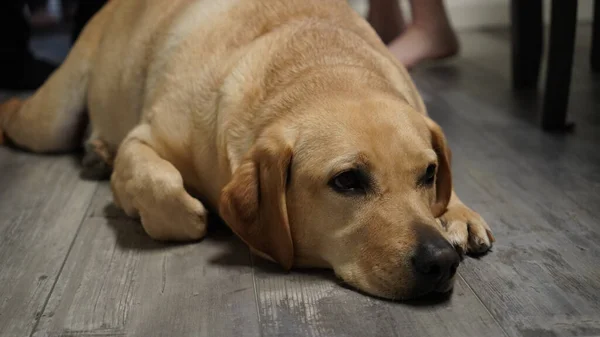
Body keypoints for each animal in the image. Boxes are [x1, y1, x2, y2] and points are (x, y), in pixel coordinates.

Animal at [0, 0, 494, 300]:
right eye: (347, 181)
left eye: (428, 174)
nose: (442, 261)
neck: (318, 65)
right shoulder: (144, 140)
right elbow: (168, 194)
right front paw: (179, 209)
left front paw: (458, 212)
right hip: (49, 120)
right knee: (16, 114)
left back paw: (98, 150)